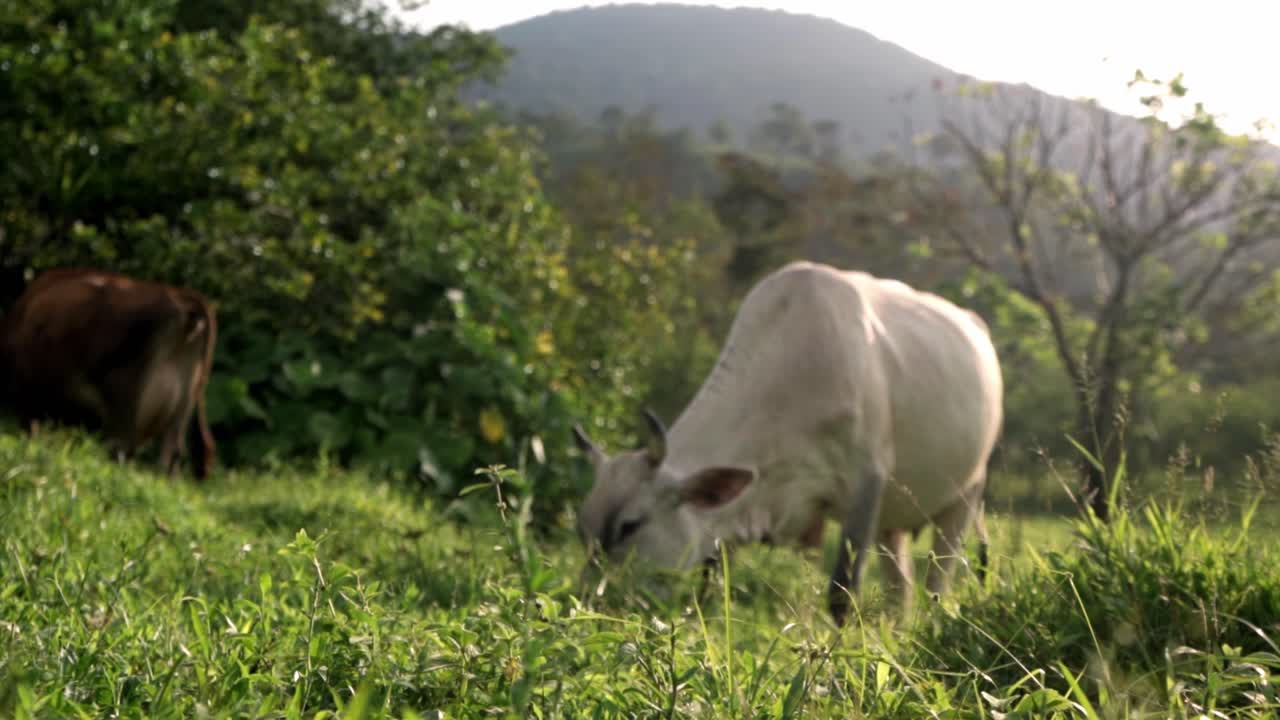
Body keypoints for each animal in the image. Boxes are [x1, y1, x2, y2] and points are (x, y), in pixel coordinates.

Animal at [0, 267, 218, 480]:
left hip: (125, 401)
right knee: (170, 458)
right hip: (178, 413)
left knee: (122, 449)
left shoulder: (29, 402)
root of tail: (179, 296)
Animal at [572, 261, 1003, 626]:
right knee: (901, 590)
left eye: (630, 526)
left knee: (936, 584)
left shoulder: (866, 484)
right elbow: (711, 591)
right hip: (892, 521)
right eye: (583, 528)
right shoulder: (738, 515)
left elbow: (841, 595)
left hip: (965, 495)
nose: (589, 604)